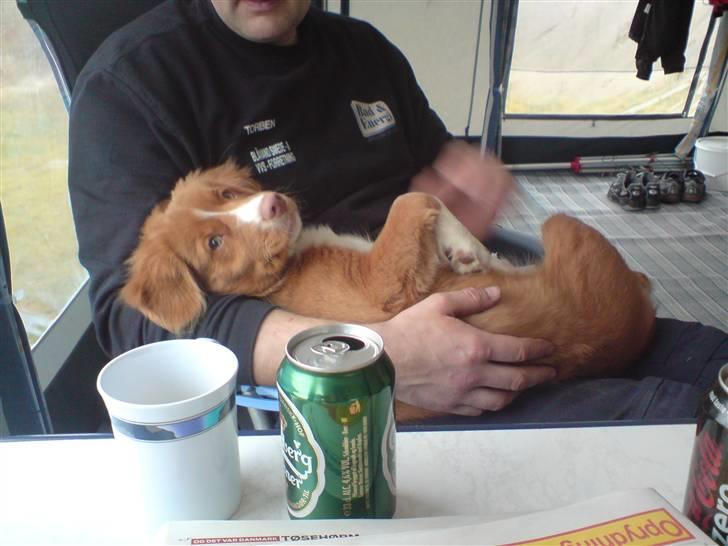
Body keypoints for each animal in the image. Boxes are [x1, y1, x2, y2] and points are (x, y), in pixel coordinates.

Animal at [119, 159, 656, 418]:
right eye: (214, 242)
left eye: (227, 194)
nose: (273, 202)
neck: (289, 266)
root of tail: (629, 332)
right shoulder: (380, 283)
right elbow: (413, 195)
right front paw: (469, 249)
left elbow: (424, 200)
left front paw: (466, 249)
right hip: (561, 225)